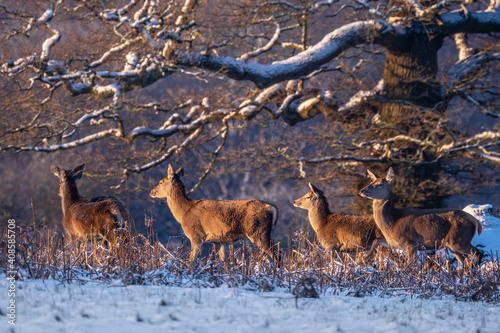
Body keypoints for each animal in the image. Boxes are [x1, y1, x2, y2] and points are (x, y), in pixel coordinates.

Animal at [150, 165, 280, 268]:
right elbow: (225, 262)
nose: (151, 192)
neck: (183, 212)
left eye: (161, 182)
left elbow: (191, 261)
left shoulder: (197, 235)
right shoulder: (218, 241)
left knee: (276, 253)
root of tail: (273, 208)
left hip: (257, 231)